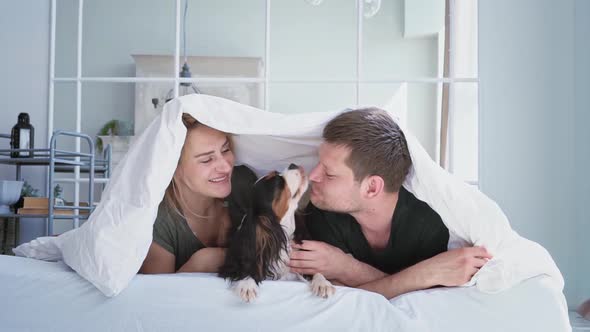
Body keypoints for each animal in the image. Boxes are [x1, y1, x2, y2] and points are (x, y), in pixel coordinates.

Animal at [219, 163, 338, 304]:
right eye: (278, 182)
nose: (293, 164)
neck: (281, 234)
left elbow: (313, 271)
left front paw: (322, 283)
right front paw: (247, 283)